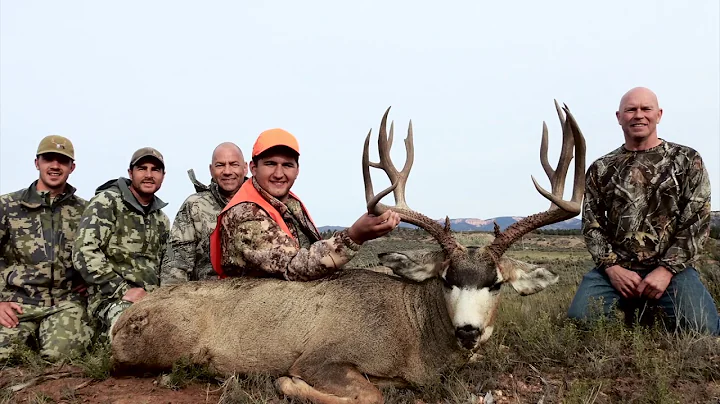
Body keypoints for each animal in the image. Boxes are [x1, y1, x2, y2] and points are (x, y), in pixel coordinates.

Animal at [110, 102, 586, 404]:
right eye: (446, 278)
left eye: (497, 283)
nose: (468, 330)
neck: (412, 339)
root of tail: (120, 322)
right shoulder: (321, 356)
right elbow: (368, 394)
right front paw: (286, 384)